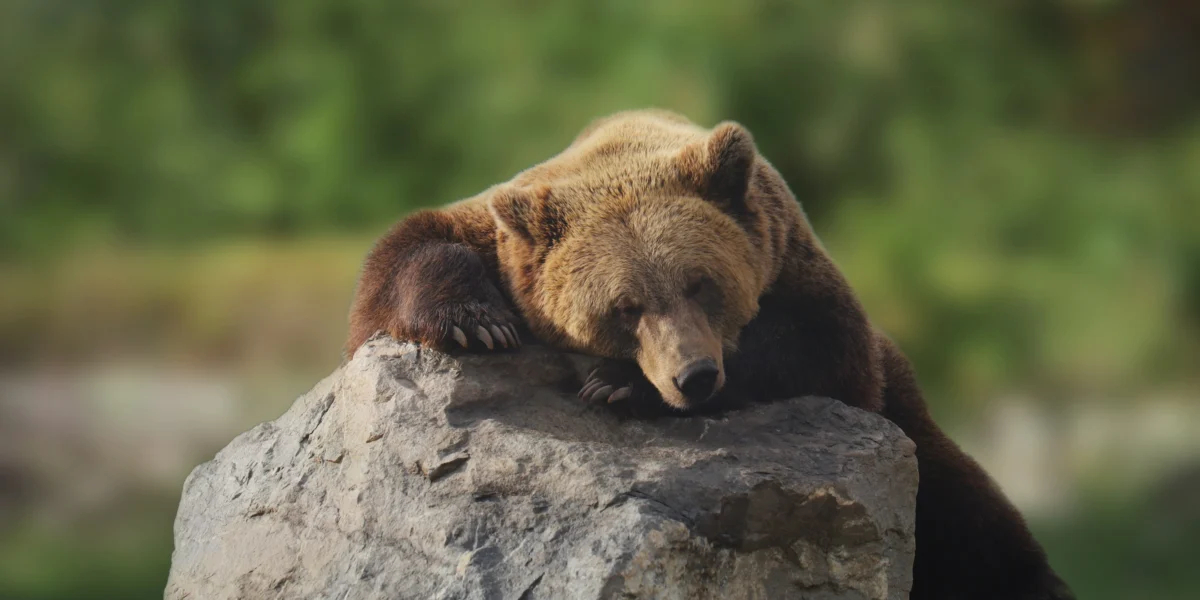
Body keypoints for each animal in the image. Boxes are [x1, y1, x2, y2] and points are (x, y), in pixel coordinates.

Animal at [346, 110, 1074, 600]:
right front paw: (477, 322)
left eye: (701, 282)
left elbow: (817, 345)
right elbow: (405, 252)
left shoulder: (800, 274)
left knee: (974, 526)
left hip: (916, 433)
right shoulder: (501, 237)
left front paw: (620, 386)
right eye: (625, 307)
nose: (693, 376)